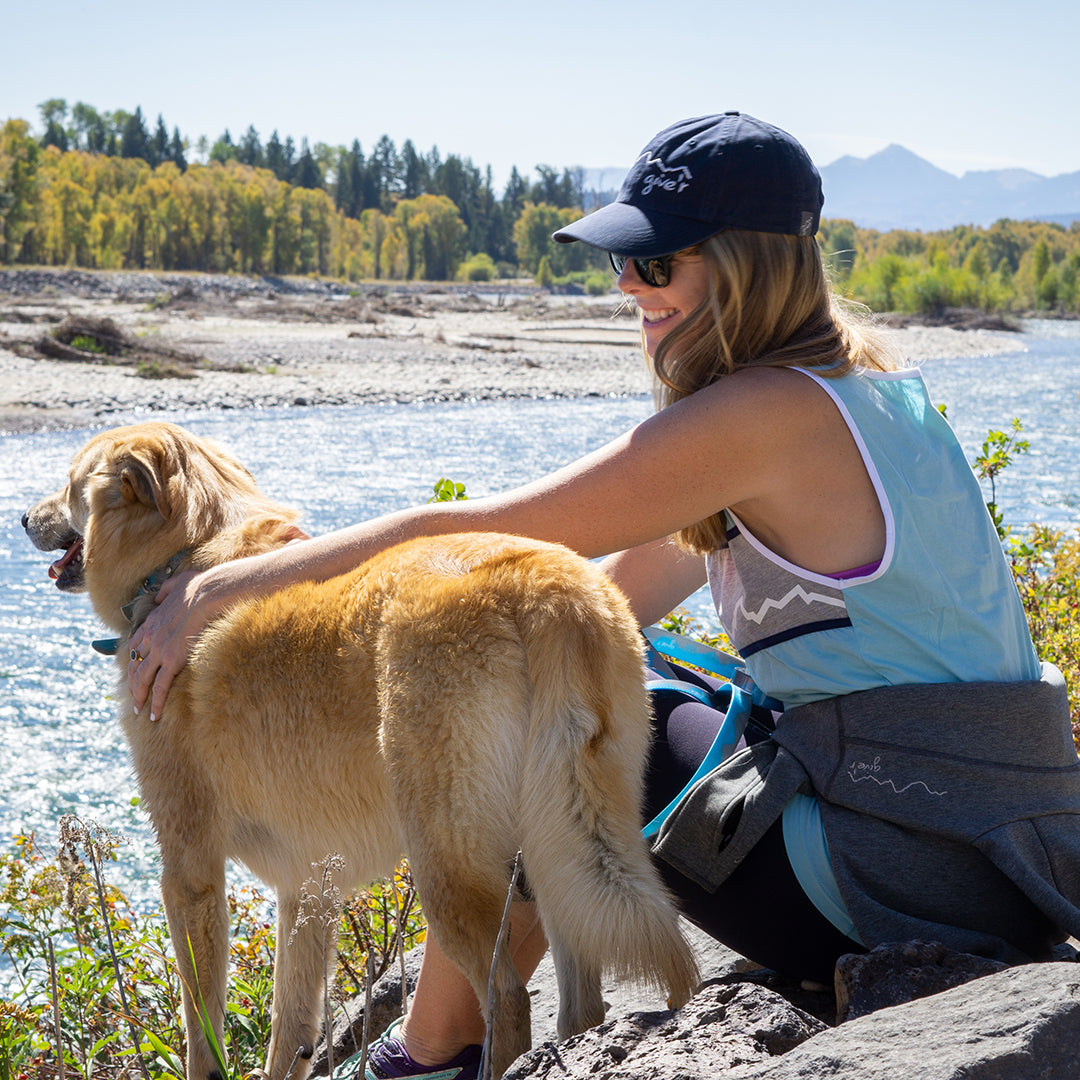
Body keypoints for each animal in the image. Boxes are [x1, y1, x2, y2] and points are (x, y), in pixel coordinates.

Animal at [27, 421, 699, 1080]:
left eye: (69, 483)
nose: (26, 519)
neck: (184, 557)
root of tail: (537, 580)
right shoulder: (306, 887)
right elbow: (290, 1031)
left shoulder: (190, 870)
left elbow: (203, 1033)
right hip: (559, 839)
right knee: (580, 997)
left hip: (449, 863)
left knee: (506, 1000)